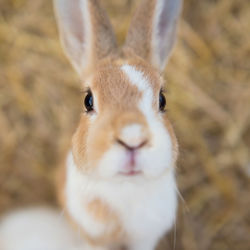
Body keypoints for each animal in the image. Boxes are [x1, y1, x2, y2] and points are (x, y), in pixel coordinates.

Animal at [53, 0, 182, 250]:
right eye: (88, 100)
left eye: (162, 99)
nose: (132, 138)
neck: (125, 186)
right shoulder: (94, 238)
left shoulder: (145, 238)